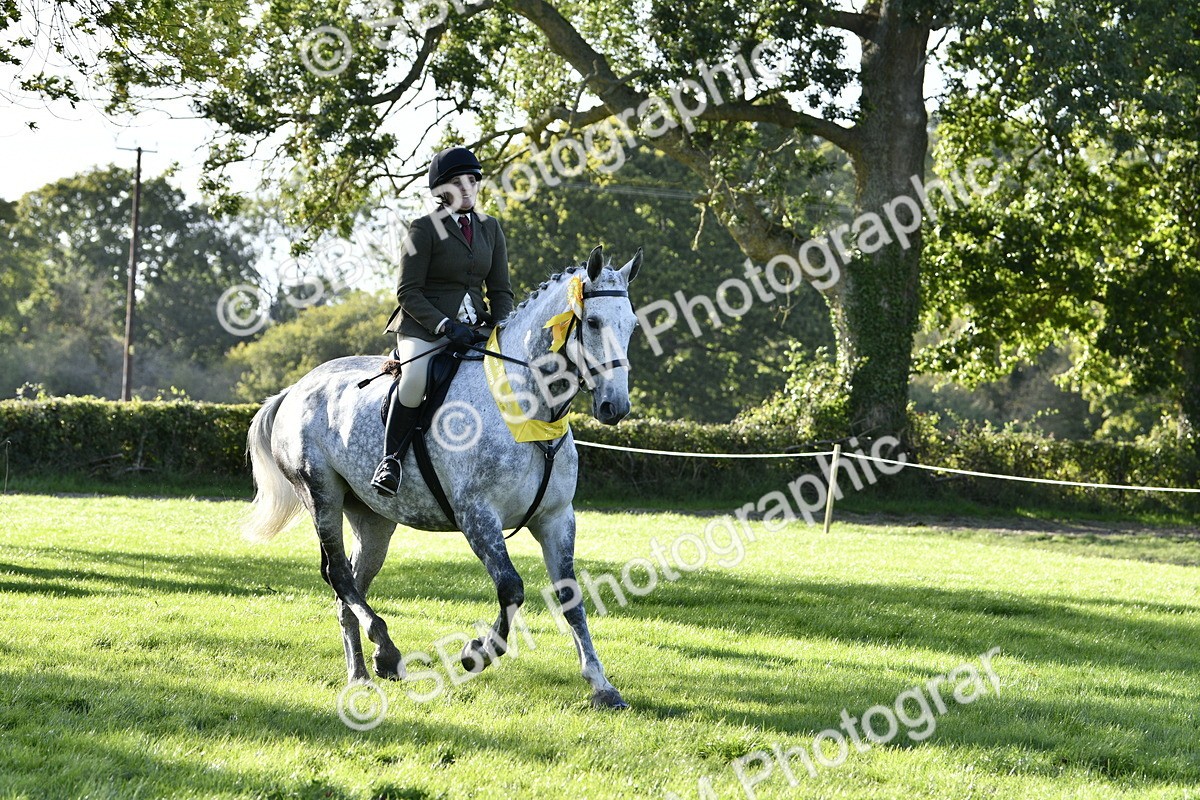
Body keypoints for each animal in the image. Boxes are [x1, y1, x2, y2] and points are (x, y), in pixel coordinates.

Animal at [241, 245, 642, 709]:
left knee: (350, 585)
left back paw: (362, 672)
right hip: (320, 493)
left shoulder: (557, 518)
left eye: (632, 324)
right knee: (339, 575)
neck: (527, 409)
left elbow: (571, 598)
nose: (616, 407)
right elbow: (511, 588)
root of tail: (296, 388)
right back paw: (386, 650)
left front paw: (601, 685)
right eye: (592, 323)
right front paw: (476, 652)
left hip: (373, 520)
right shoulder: (476, 516)